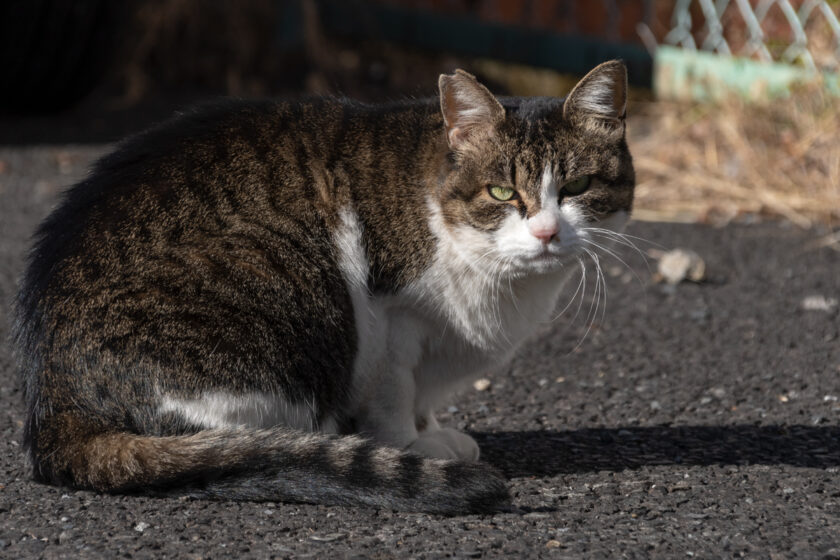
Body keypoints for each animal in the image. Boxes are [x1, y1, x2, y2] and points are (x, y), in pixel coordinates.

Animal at [13, 60, 632, 512]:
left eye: (577, 187)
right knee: (224, 444)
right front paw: (411, 445)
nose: (547, 232)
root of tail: (58, 405)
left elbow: (423, 399)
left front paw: (434, 432)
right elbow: (396, 392)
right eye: (503, 193)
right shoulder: (392, 317)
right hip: (292, 280)